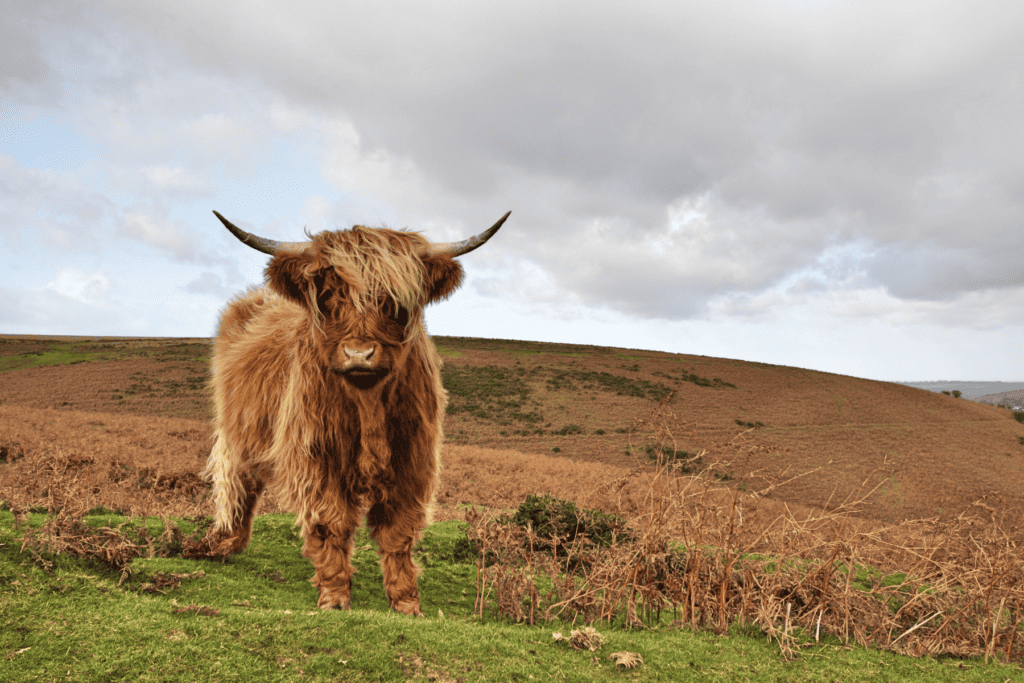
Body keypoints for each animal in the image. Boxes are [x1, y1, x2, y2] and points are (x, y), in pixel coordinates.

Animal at [195, 209, 510, 616]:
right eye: (329, 295)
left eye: (395, 301)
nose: (359, 354)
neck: (368, 401)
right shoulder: (317, 456)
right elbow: (330, 522)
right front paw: (334, 597)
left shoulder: (412, 462)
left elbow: (398, 531)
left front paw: (407, 602)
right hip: (237, 428)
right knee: (237, 481)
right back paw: (223, 542)